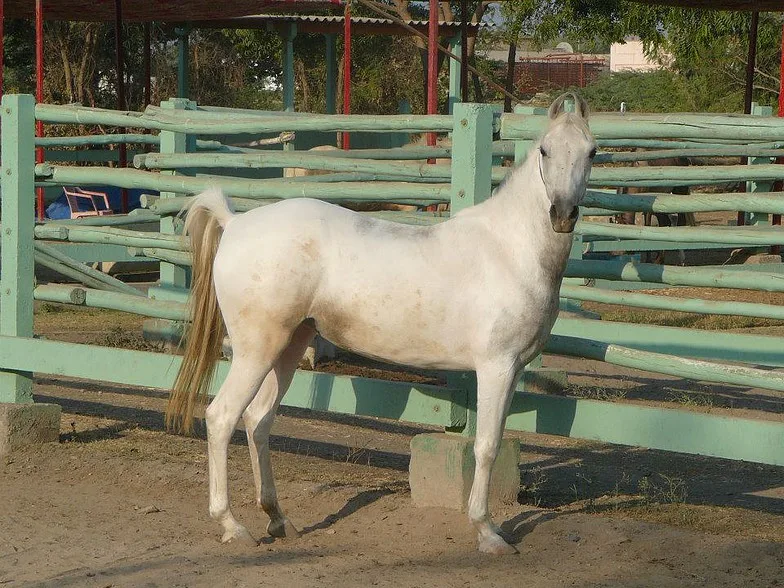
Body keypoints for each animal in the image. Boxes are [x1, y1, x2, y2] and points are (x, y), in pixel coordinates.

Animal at [166, 92, 597, 555]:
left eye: (592, 151)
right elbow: (486, 446)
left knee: (258, 421)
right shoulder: (495, 367)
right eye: (545, 151)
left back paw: (279, 519)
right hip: (256, 351)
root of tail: (236, 222)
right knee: (221, 418)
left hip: (289, 347)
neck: (509, 249)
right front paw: (488, 532)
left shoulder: (513, 370)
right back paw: (232, 525)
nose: (563, 214)